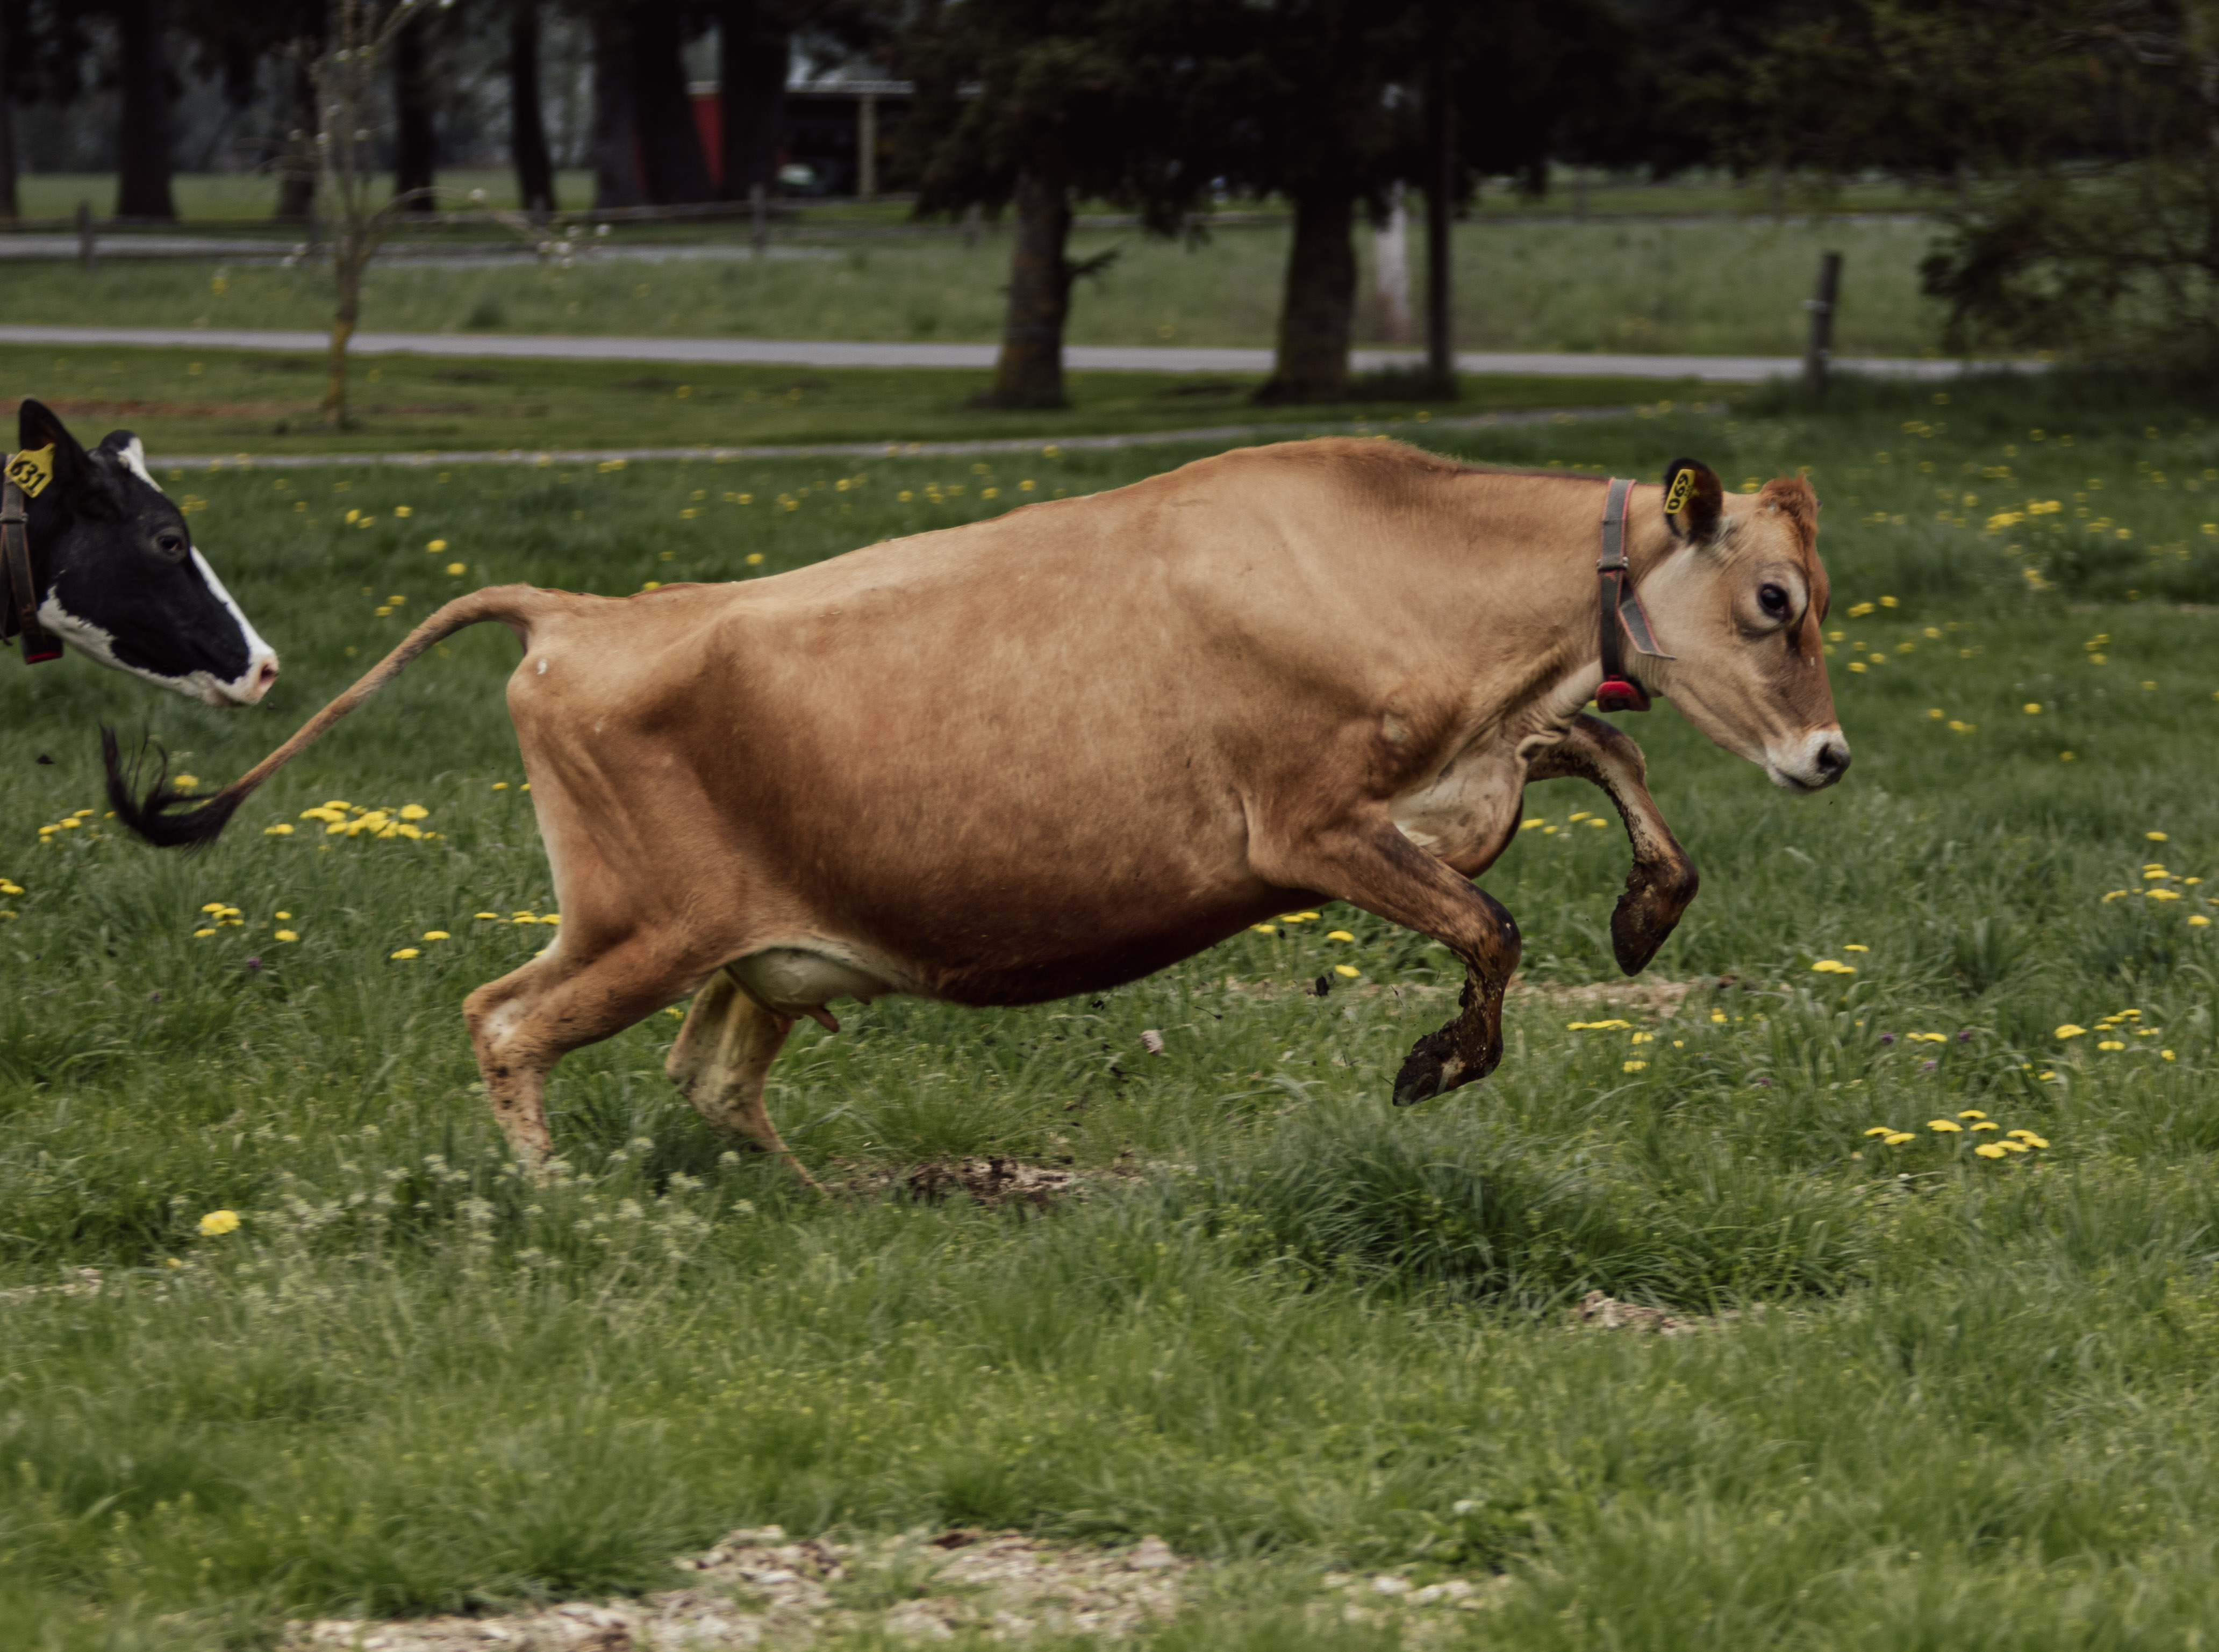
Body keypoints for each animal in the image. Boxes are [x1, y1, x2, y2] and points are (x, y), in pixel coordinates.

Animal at [108, 446, 1837, 1180]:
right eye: (1774, 601)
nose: (1826, 758)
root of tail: (585, 611)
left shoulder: (1466, 772)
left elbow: (1598, 759)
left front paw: (1648, 907)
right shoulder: (1306, 830)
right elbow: (1492, 929)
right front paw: (1437, 1064)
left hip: (760, 951)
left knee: (707, 1078)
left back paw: (814, 1211)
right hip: (639, 923)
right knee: (506, 1021)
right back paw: (554, 1214)